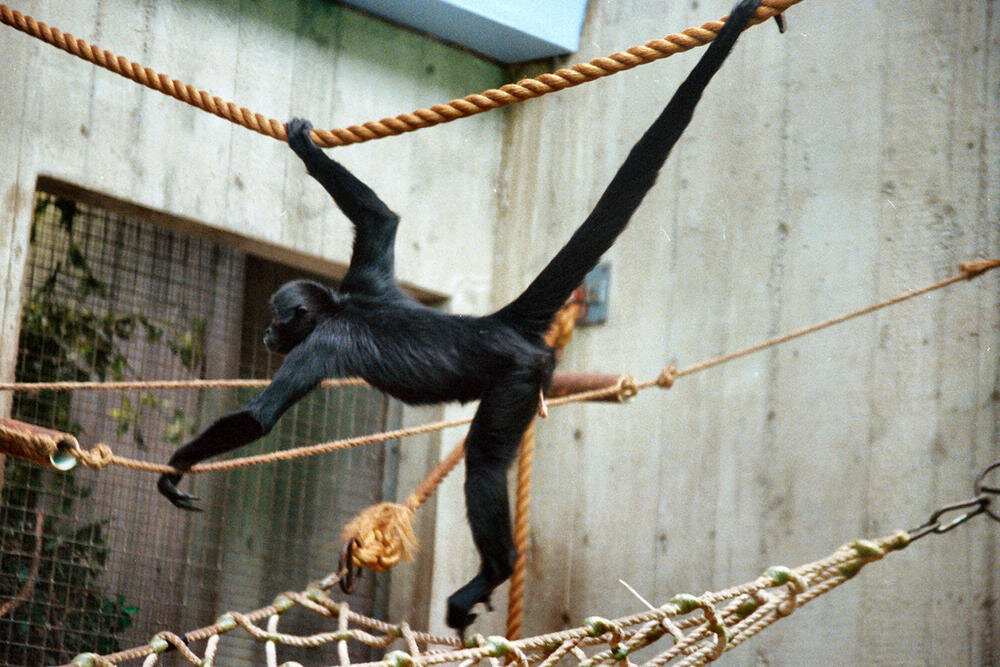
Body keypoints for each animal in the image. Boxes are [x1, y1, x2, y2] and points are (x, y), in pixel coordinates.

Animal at [156, 0, 764, 636]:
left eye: (280, 320)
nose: (269, 333)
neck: (342, 306)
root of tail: (497, 323)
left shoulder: (323, 341)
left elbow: (259, 418)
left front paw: (176, 468)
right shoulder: (366, 281)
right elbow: (382, 219)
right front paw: (306, 148)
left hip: (519, 378)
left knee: (483, 461)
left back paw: (495, 569)